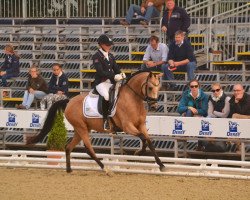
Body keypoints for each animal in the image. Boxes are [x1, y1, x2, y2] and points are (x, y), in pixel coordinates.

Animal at [27, 71, 166, 173]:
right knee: (88, 149)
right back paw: (105, 169)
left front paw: (161, 165)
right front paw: (139, 152)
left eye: (159, 87)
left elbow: (149, 141)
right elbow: (143, 138)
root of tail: (69, 101)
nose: (154, 106)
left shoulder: (141, 125)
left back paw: (69, 169)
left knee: (68, 147)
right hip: (81, 128)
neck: (132, 99)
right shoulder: (127, 127)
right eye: (150, 87)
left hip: (80, 129)